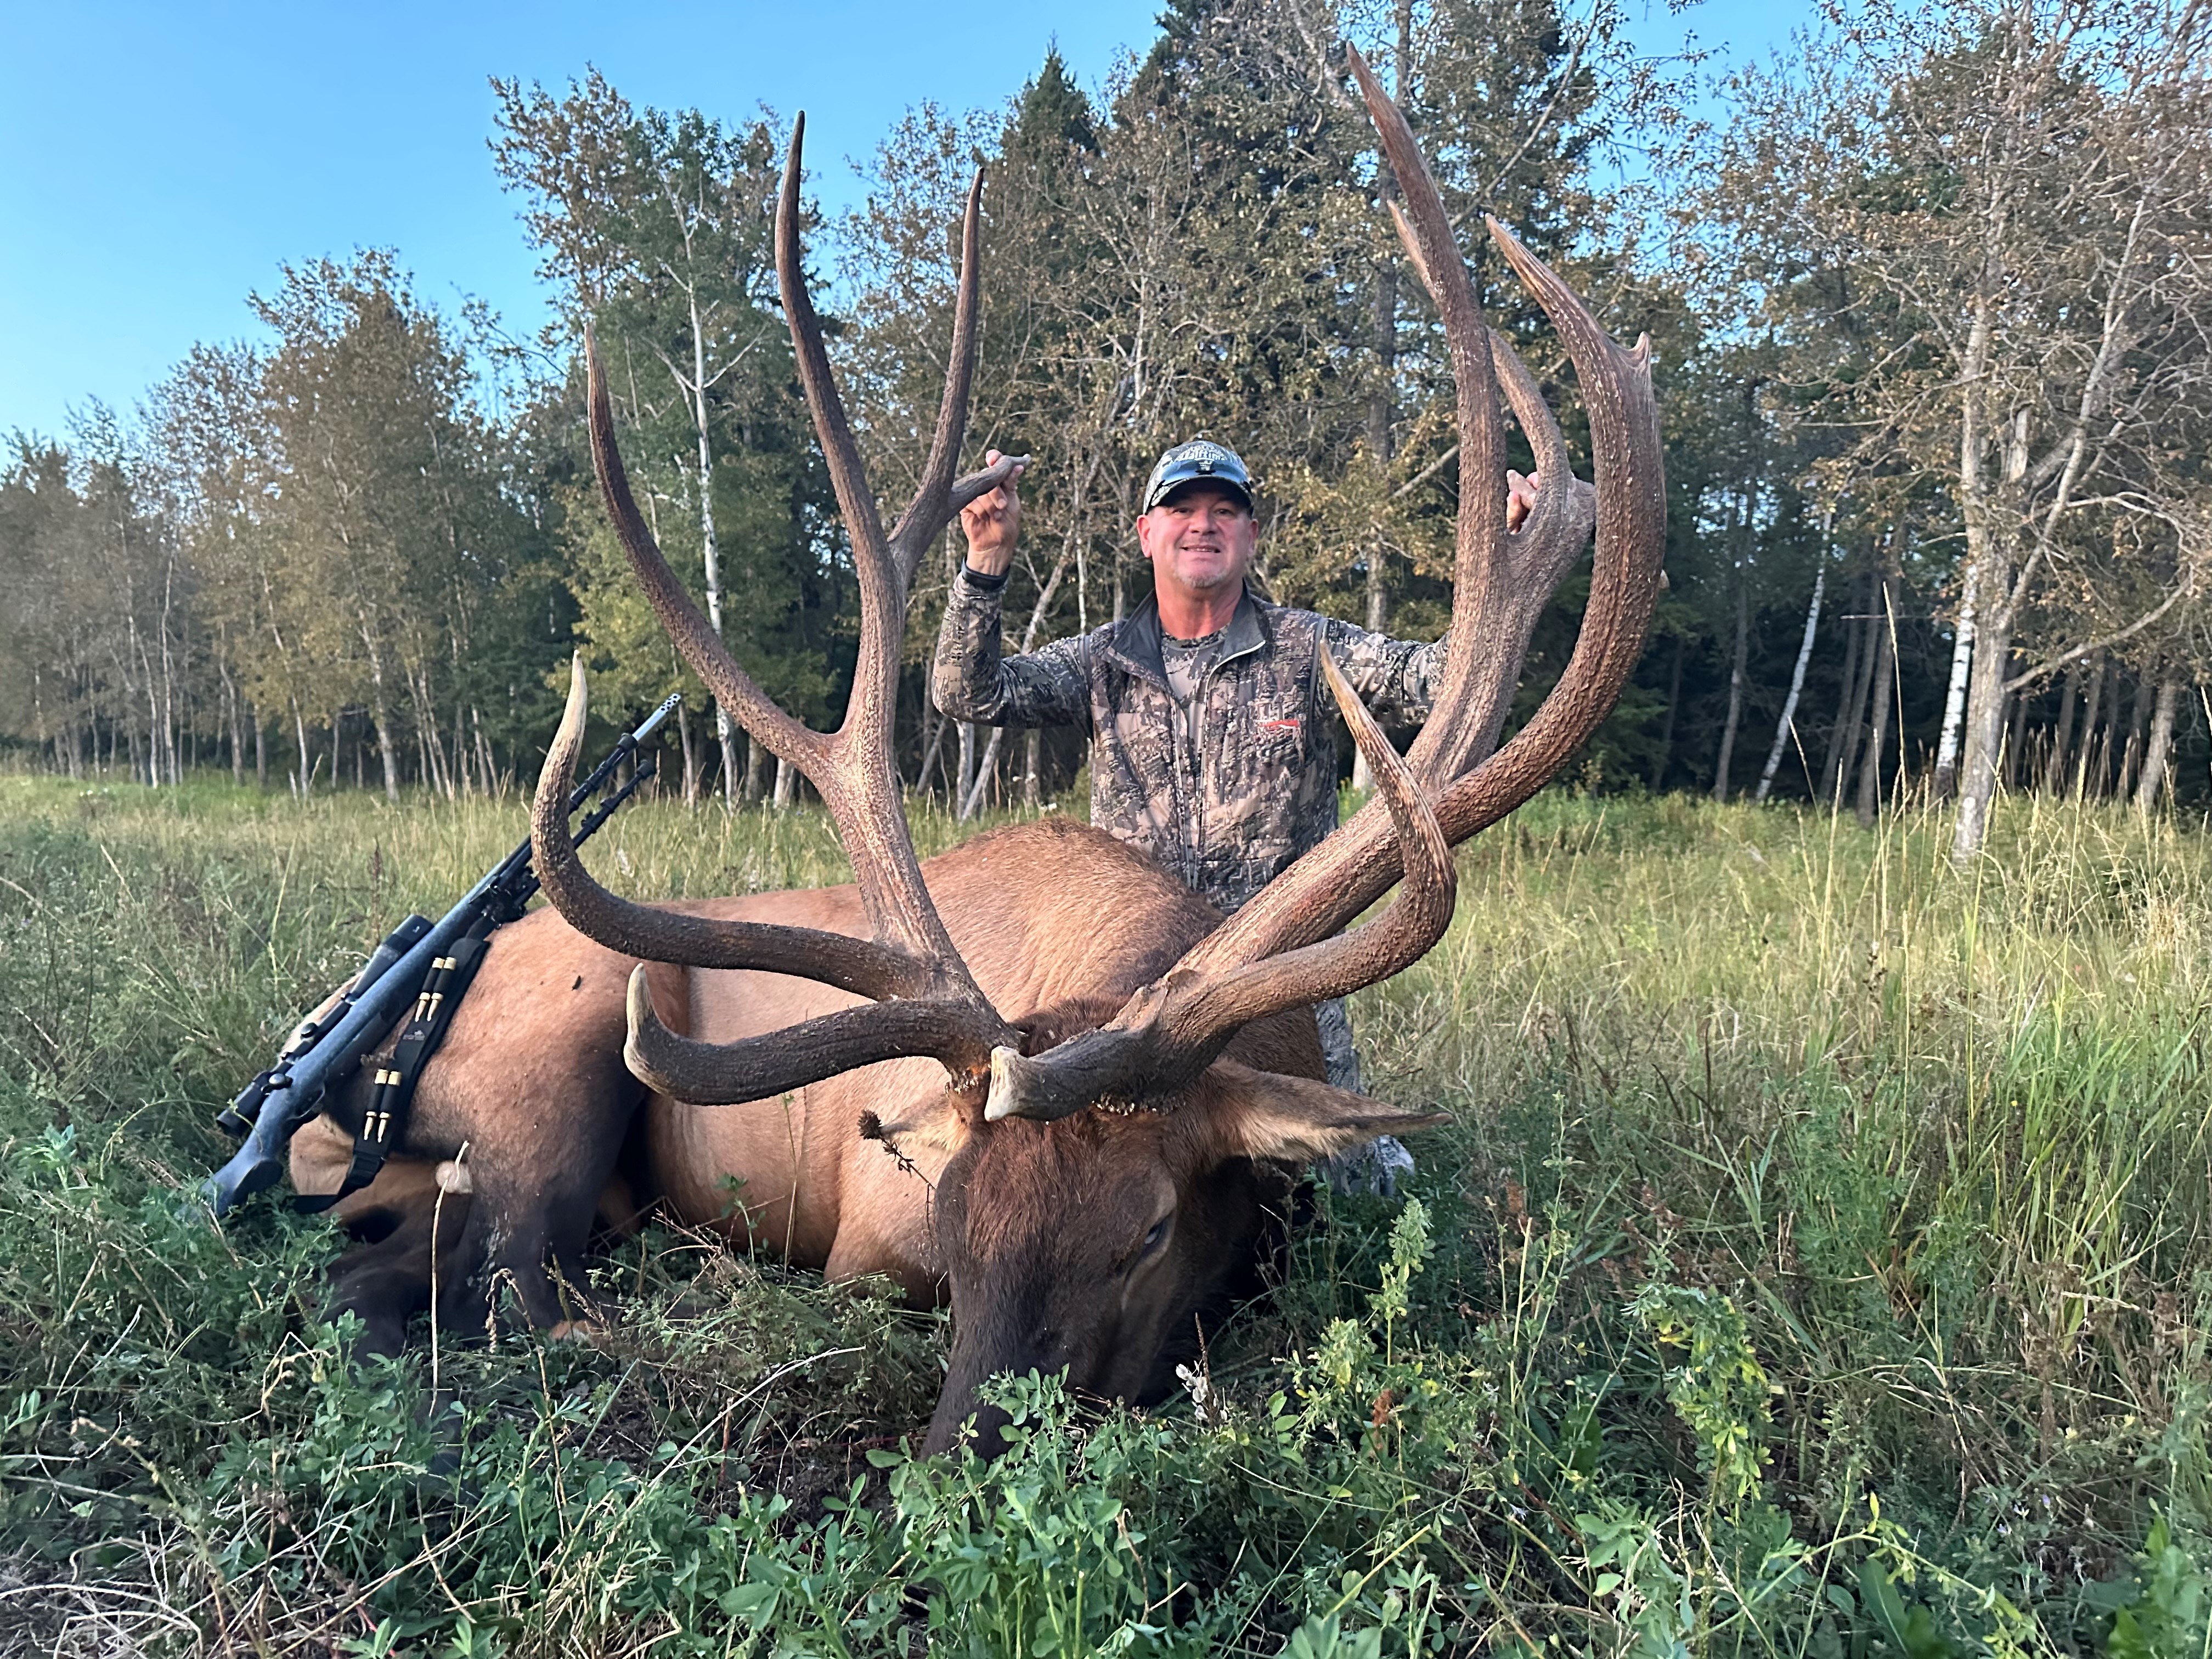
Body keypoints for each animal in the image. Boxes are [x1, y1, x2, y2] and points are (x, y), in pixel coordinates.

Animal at [291, 53, 1664, 1458]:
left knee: (403, 1261)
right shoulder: (865, 1237)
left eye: (1151, 1228)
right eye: (956, 1225)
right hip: (562, 1042)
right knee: (528, 1279)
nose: (958, 1464)